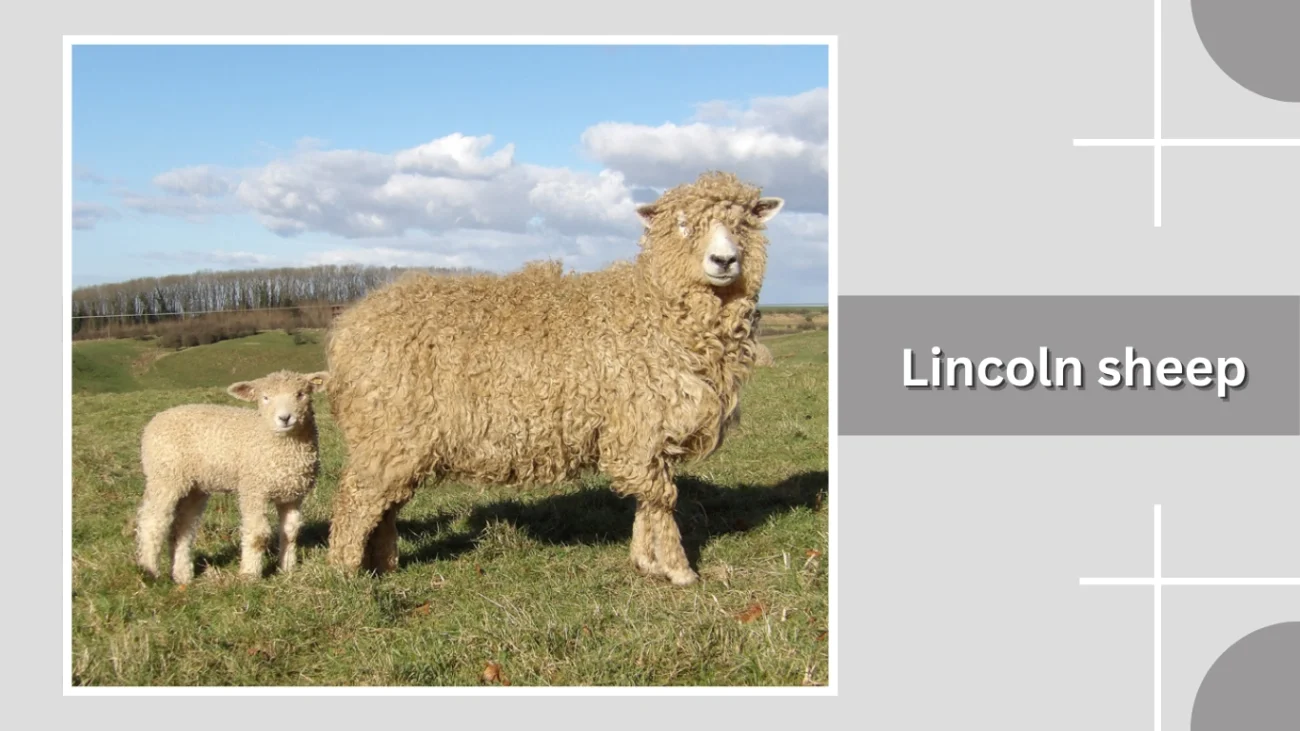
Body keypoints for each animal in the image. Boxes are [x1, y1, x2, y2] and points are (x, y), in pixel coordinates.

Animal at [134, 369, 329, 584]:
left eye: (301, 394)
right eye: (265, 397)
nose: (285, 418)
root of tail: (156, 419)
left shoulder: (293, 494)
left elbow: (291, 532)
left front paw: (287, 569)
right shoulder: (253, 489)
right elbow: (257, 535)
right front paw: (249, 575)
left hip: (193, 487)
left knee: (182, 527)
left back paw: (182, 575)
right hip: (165, 476)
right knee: (152, 521)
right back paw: (149, 571)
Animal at [323, 170, 784, 586]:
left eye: (743, 223)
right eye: (684, 225)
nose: (724, 261)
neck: (653, 307)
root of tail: (349, 327)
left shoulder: (648, 431)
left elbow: (647, 498)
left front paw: (646, 561)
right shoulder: (639, 422)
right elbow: (661, 498)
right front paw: (680, 570)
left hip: (395, 441)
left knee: (385, 505)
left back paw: (384, 565)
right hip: (386, 431)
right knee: (355, 499)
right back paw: (346, 573)